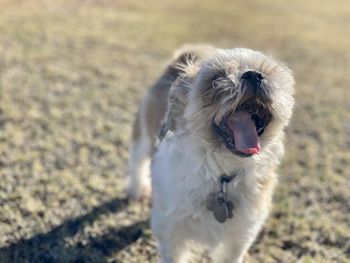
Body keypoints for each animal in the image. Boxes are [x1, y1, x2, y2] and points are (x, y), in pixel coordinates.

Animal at [127, 46, 294, 263]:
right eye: (217, 77)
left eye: (266, 71)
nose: (253, 74)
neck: (222, 175)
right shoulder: (170, 228)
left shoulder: (239, 235)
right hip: (143, 135)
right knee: (137, 161)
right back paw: (138, 190)